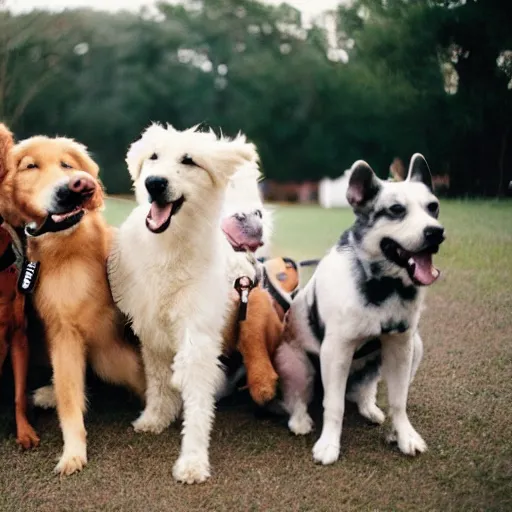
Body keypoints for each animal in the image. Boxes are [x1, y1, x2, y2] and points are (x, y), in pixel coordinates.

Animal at [0, 128, 146, 476]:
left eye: (67, 164)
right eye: (30, 167)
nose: (78, 185)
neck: (69, 248)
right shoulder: (62, 332)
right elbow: (69, 398)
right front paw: (74, 452)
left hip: (110, 358)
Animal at [109, 124, 258, 484]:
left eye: (189, 160)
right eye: (153, 157)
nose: (154, 183)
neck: (169, 246)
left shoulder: (197, 335)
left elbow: (198, 401)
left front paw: (192, 460)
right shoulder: (151, 330)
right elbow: (158, 380)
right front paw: (155, 417)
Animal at [276, 152, 444, 464]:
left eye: (433, 207)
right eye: (396, 210)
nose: (436, 233)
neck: (383, 284)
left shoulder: (401, 345)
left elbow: (399, 400)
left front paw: (404, 435)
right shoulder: (336, 351)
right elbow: (334, 406)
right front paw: (329, 444)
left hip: (415, 347)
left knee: (365, 389)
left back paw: (369, 407)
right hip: (296, 364)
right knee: (298, 398)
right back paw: (301, 420)